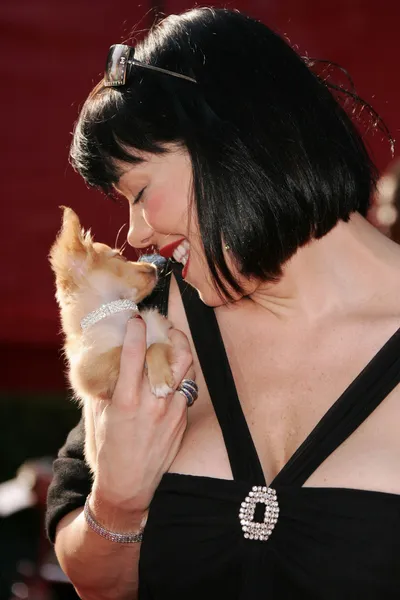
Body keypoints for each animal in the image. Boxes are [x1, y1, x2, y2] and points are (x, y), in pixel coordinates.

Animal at [48, 209, 173, 472]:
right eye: (118, 256)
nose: (154, 267)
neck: (119, 317)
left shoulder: (164, 335)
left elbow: (155, 345)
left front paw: (160, 378)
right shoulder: (87, 374)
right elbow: (127, 350)